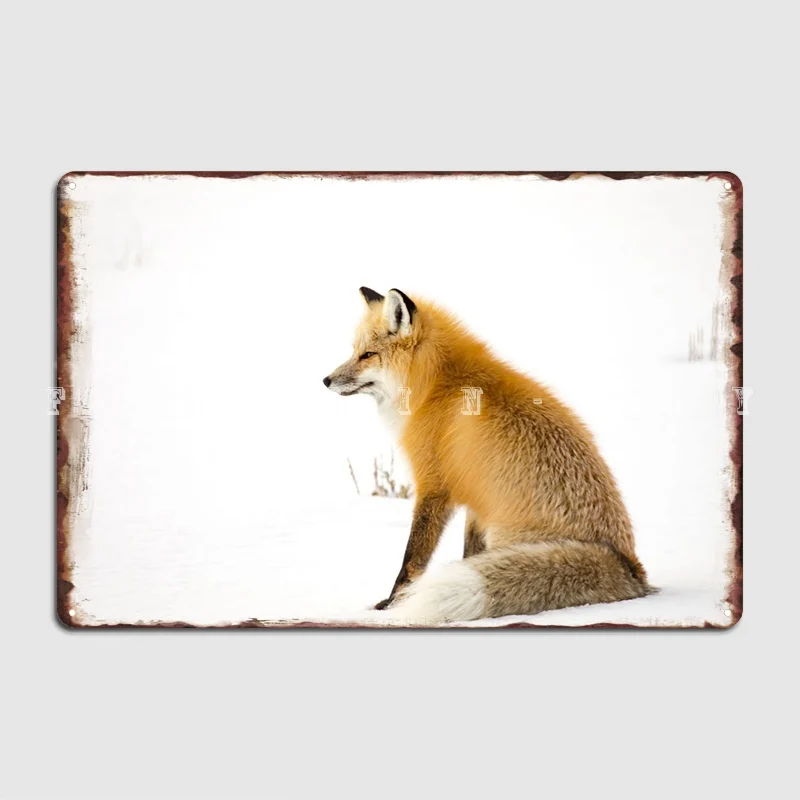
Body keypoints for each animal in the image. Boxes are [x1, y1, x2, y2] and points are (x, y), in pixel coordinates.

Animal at [323, 287, 653, 624]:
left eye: (367, 355)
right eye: (354, 351)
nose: (326, 380)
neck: (436, 384)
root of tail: (631, 568)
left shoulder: (434, 485)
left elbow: (413, 558)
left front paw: (392, 604)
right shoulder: (475, 495)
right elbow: (470, 553)